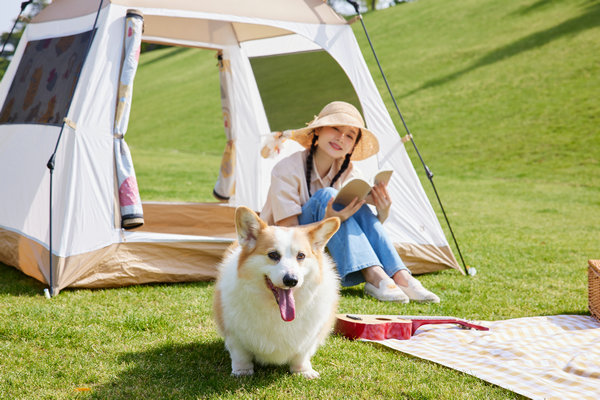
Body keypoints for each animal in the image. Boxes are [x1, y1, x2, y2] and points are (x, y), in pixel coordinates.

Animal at [213, 206, 340, 378]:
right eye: (273, 255)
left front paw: (303, 371)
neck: (275, 310)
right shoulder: (234, 333)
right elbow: (241, 354)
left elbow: (302, 355)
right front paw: (242, 371)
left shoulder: (310, 337)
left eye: (301, 256)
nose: (291, 280)